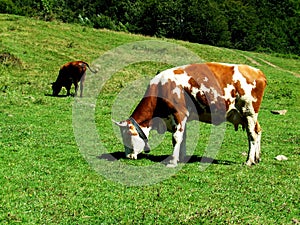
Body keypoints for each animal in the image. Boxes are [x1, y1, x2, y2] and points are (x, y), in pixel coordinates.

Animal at [115, 62, 268, 167]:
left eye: (127, 135)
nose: (128, 156)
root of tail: (257, 71)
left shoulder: (179, 113)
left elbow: (176, 138)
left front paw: (172, 161)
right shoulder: (183, 118)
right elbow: (183, 138)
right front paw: (181, 158)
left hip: (249, 112)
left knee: (252, 135)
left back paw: (249, 161)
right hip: (247, 115)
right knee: (258, 131)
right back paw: (257, 158)